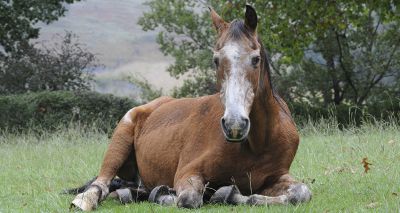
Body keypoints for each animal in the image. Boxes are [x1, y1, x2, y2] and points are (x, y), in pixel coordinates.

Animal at [69, 5, 312, 211]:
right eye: (216, 60)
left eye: (256, 59)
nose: (234, 125)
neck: (257, 143)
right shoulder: (188, 172)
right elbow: (188, 198)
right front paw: (168, 195)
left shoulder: (276, 177)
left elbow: (301, 192)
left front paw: (228, 194)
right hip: (120, 139)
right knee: (101, 184)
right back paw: (87, 200)